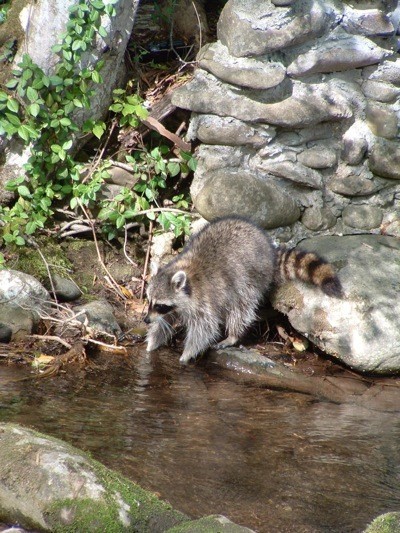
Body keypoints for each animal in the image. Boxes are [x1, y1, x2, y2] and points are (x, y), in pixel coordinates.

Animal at [144, 215, 340, 362]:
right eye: (149, 302)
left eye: (159, 305)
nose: (145, 320)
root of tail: (269, 251)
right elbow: (165, 321)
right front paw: (153, 340)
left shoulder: (204, 300)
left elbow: (205, 328)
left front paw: (187, 354)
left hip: (251, 279)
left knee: (241, 308)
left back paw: (233, 335)